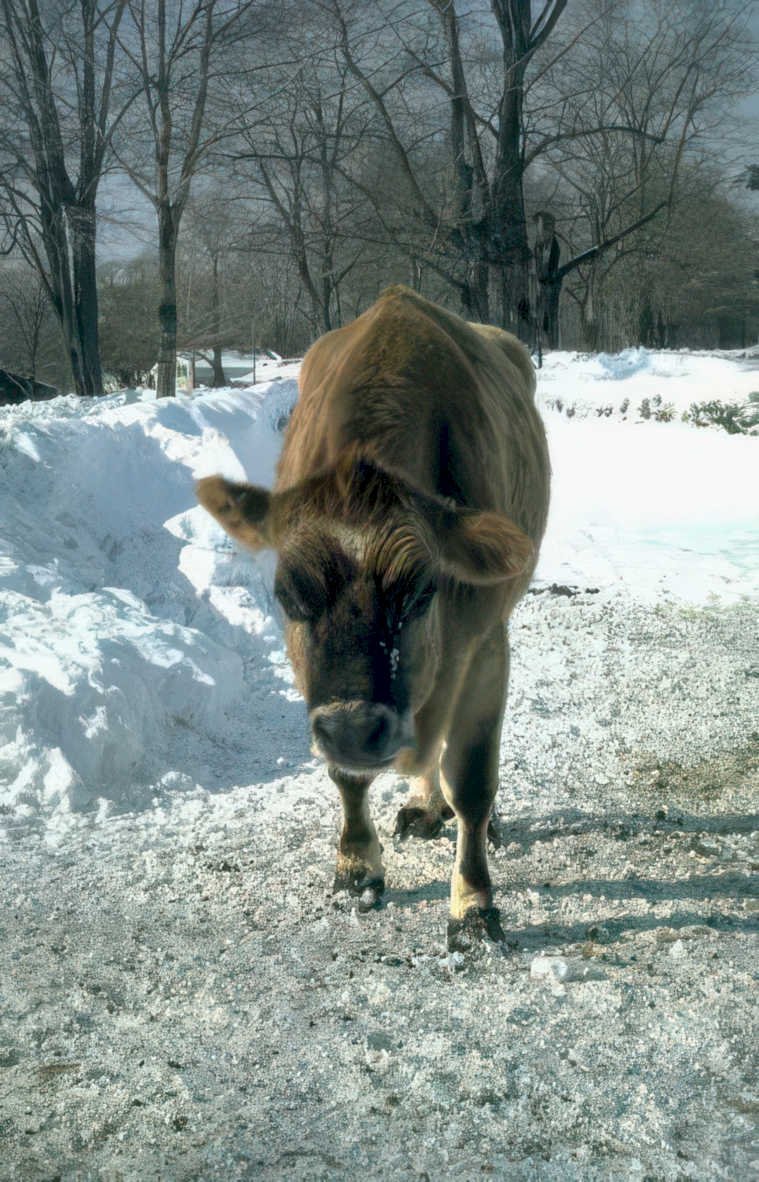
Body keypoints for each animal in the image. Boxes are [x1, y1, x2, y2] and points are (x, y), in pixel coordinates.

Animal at [197, 287, 550, 950]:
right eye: (288, 595)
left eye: (420, 592)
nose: (357, 729)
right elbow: (347, 778)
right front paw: (357, 867)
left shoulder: (486, 645)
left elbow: (473, 778)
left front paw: (473, 905)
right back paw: (423, 805)